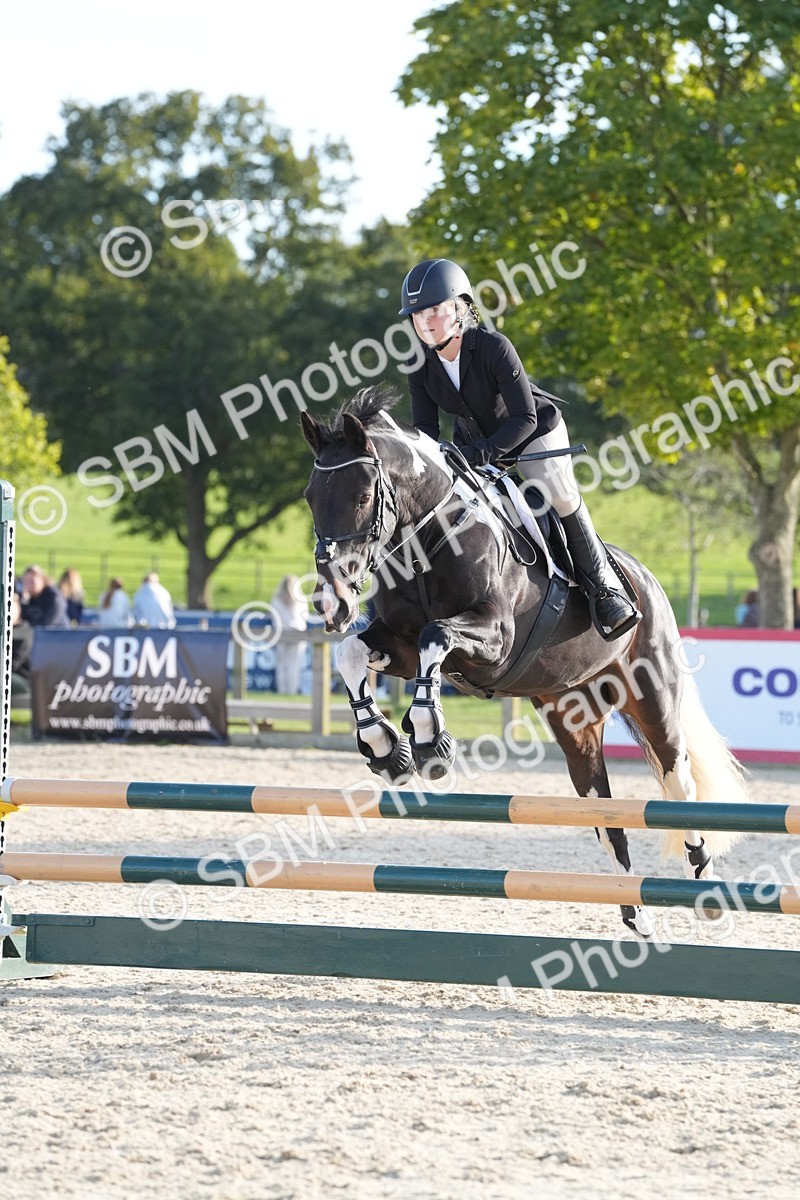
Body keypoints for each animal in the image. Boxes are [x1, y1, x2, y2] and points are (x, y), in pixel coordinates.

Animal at [301, 386, 748, 937]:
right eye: (311, 497)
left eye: (363, 497)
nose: (332, 603)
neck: (430, 539)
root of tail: (647, 580)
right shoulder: (397, 645)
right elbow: (352, 652)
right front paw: (384, 746)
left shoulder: (494, 641)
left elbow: (435, 635)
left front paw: (427, 740)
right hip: (573, 719)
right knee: (602, 811)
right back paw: (635, 912)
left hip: (653, 696)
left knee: (676, 780)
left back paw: (704, 877)